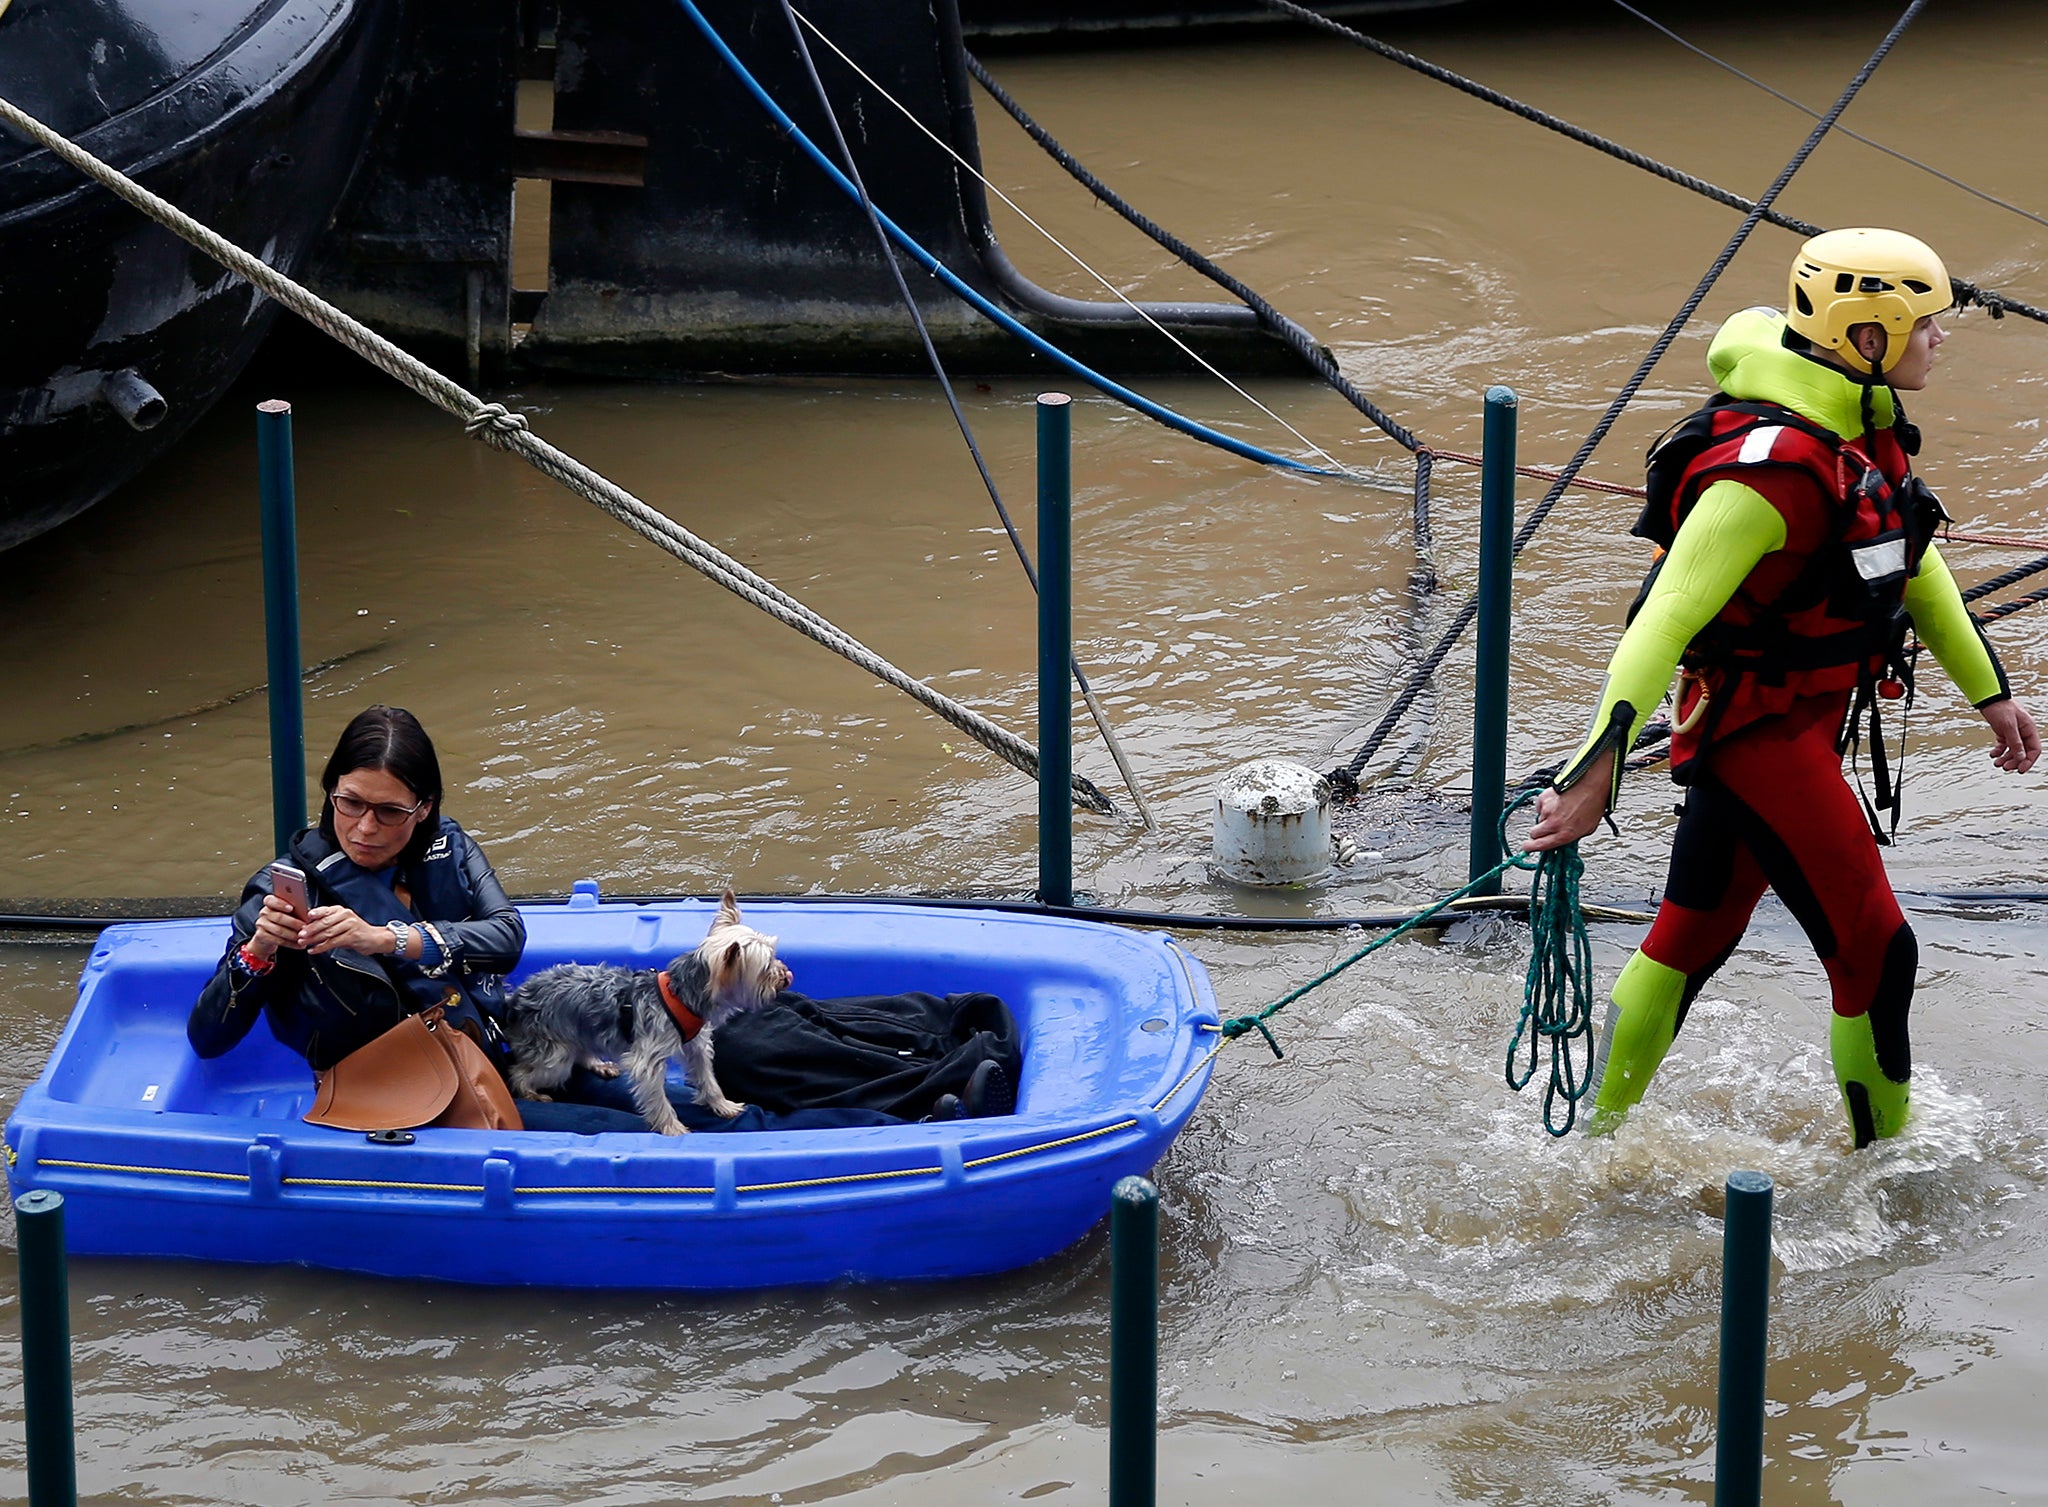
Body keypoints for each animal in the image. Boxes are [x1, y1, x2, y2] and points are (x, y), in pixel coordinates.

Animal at [507, 892, 794, 1130]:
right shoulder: (648, 1062)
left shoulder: (697, 1046)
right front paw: (672, 1129)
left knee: (581, 1053)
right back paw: (531, 1093)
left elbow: (708, 1080)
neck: (682, 993)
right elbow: (658, 1100)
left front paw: (723, 1106)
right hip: (555, 1056)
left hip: (577, 1030)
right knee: (519, 1073)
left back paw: (600, 1065)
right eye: (766, 968)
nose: (787, 975)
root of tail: (515, 999)